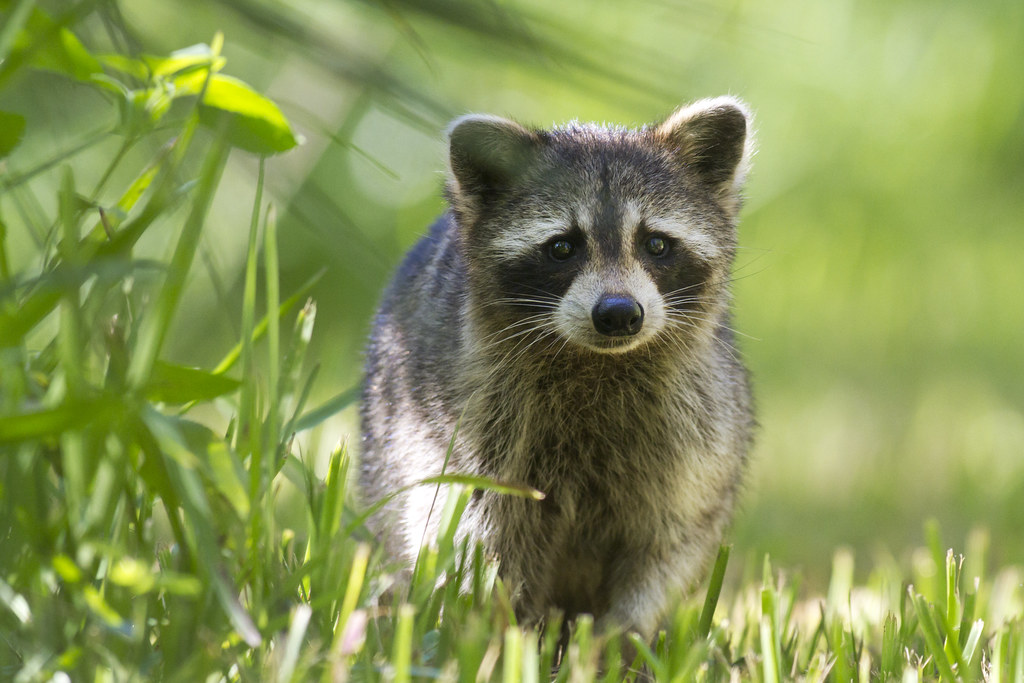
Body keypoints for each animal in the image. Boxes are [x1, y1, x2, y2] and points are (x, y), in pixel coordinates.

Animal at [360, 97, 755, 638]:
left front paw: (625, 633)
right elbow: (471, 534)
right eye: (562, 247)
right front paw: (499, 634)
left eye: (656, 243)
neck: (598, 364)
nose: (619, 314)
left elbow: (672, 541)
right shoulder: (463, 425)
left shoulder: (698, 431)